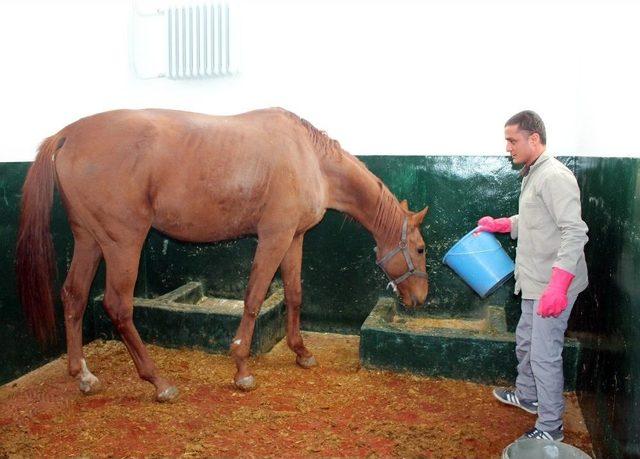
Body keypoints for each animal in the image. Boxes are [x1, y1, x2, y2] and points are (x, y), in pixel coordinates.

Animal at [15, 108, 428, 402]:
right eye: (422, 248)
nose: (421, 298)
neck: (308, 158)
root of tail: (68, 134)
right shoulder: (273, 238)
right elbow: (254, 298)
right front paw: (242, 369)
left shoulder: (294, 238)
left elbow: (294, 294)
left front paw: (301, 352)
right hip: (123, 243)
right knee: (117, 306)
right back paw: (159, 383)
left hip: (89, 240)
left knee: (74, 297)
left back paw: (84, 376)